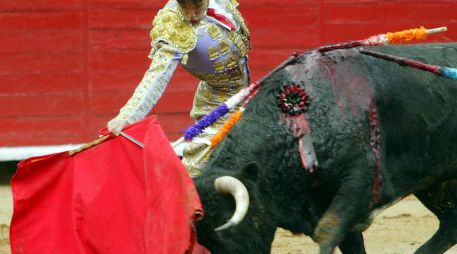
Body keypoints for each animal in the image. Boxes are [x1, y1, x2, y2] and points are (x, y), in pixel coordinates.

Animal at [192, 43, 456, 254]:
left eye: (227, 225)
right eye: (205, 240)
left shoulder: (362, 183)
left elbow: (327, 231)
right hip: (436, 182)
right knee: (450, 223)